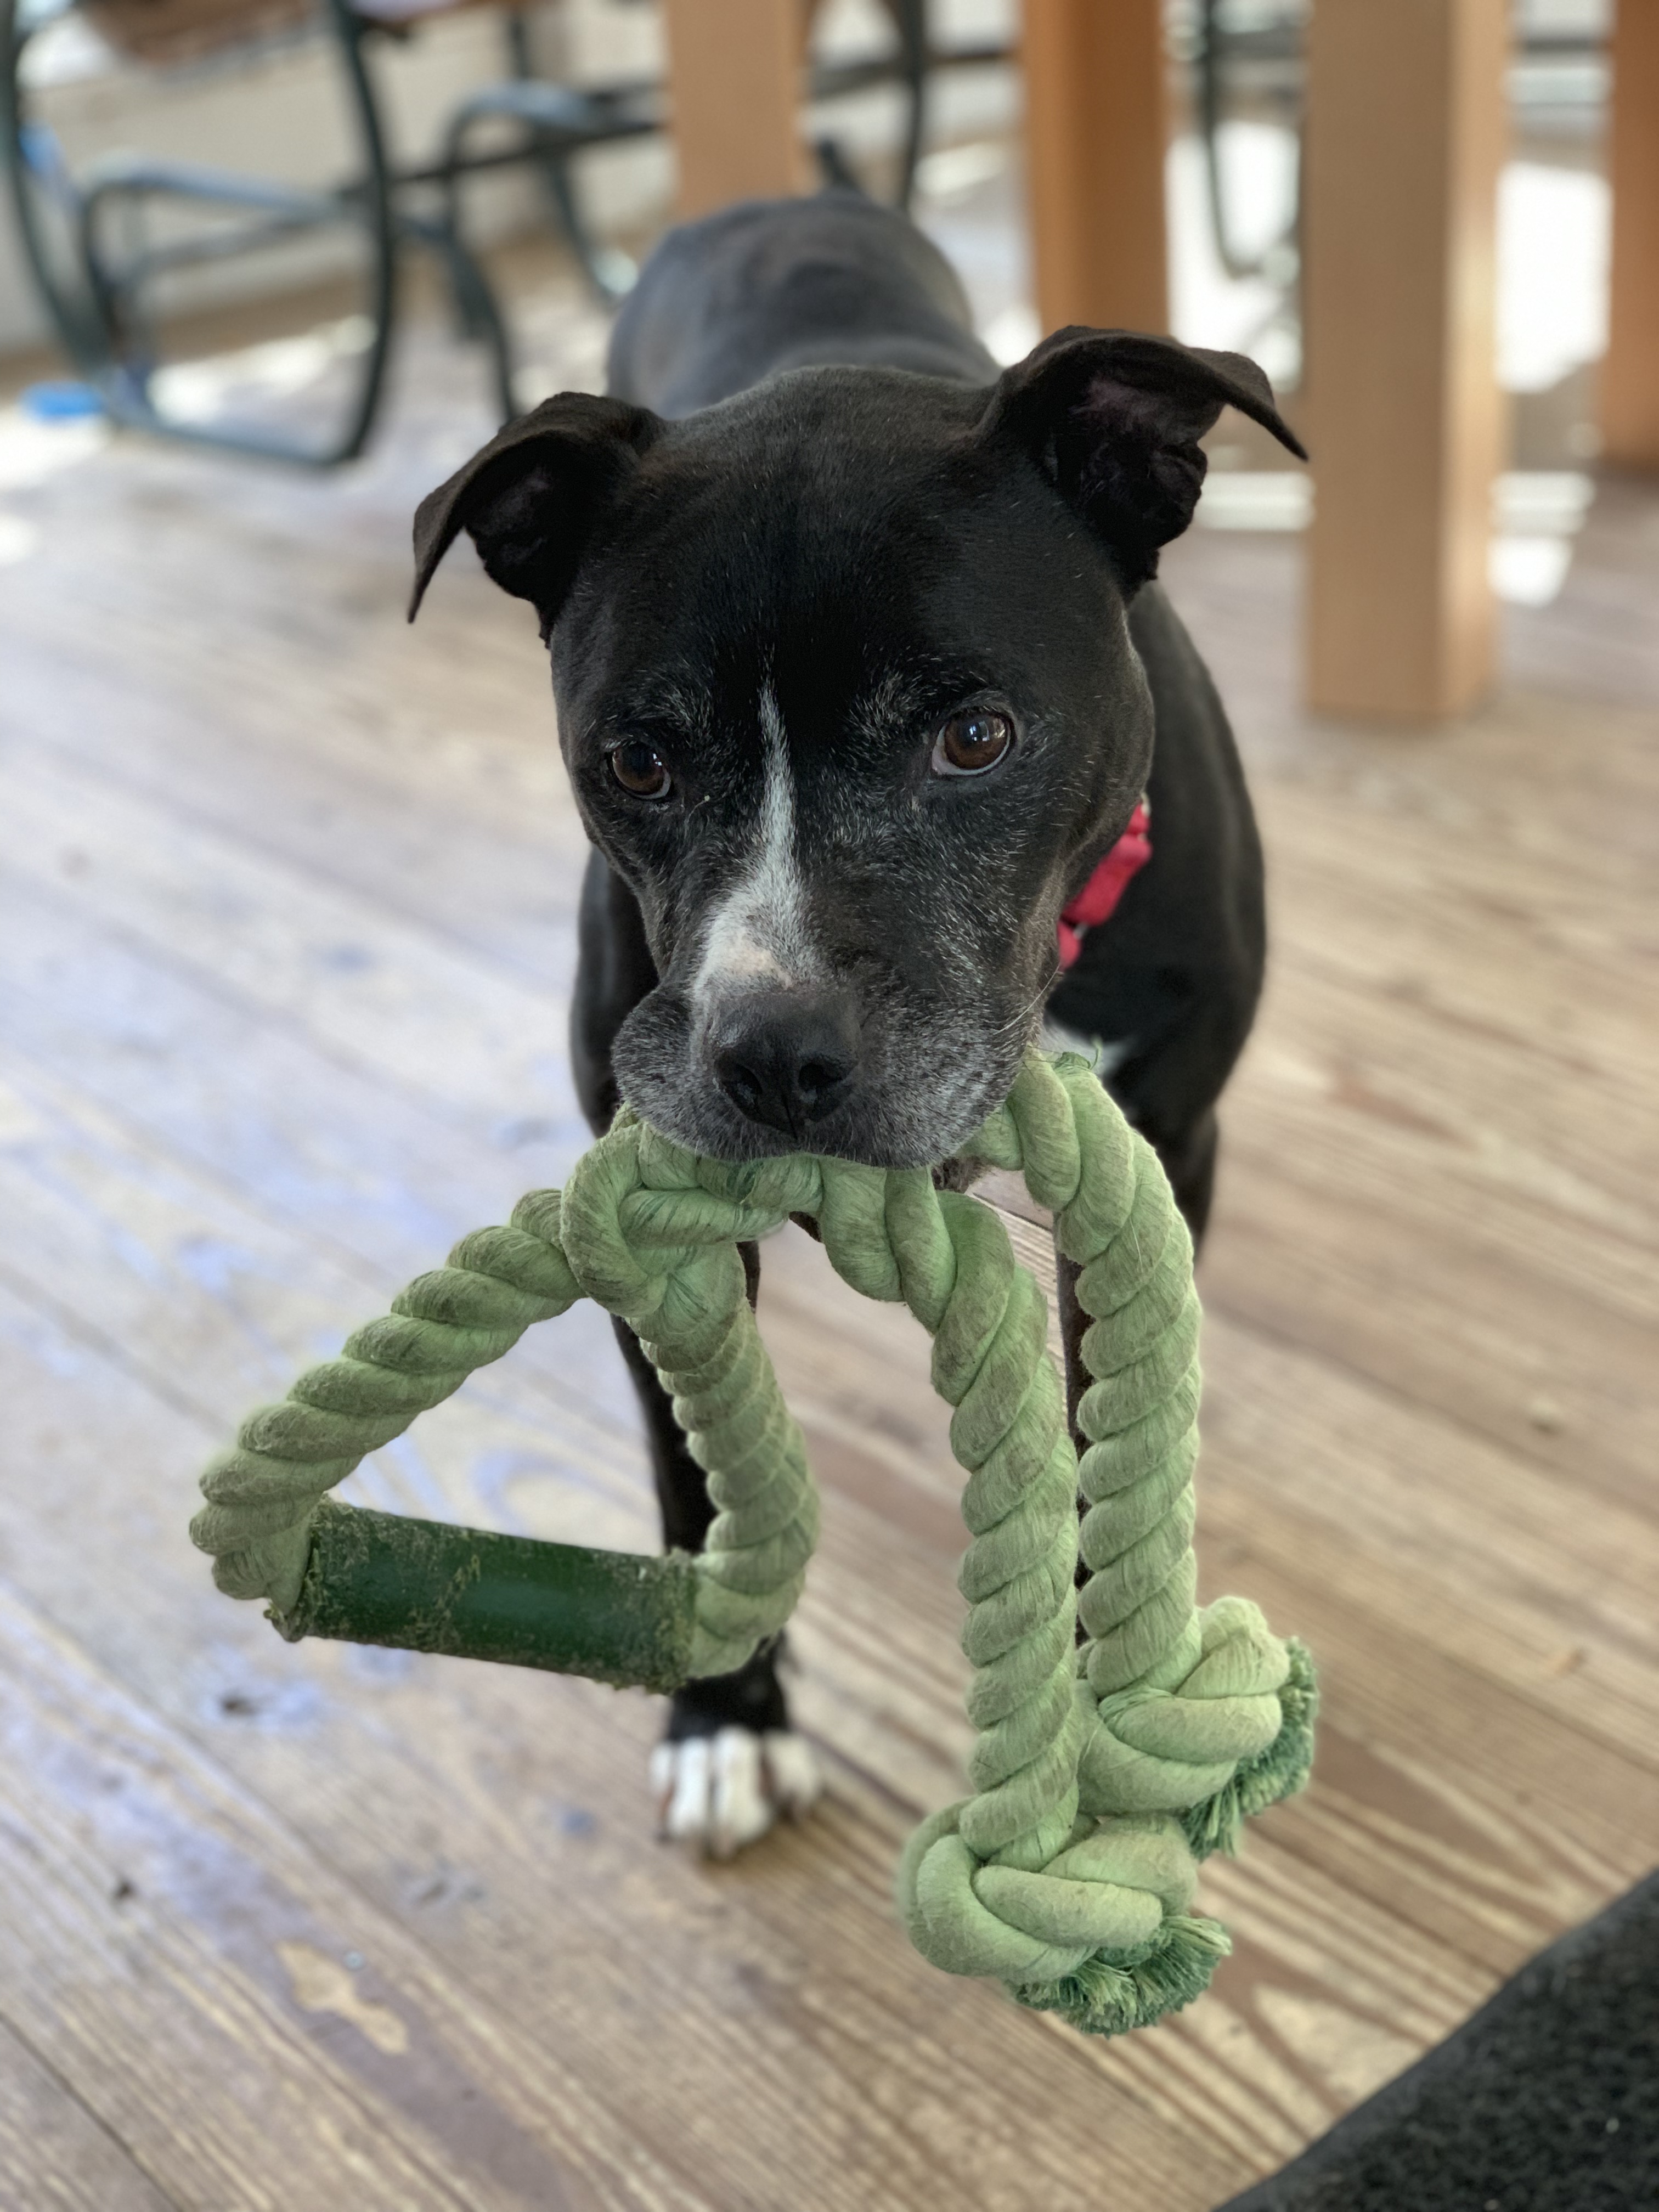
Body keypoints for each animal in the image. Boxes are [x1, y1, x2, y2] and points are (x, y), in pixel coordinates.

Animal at [409, 185, 1309, 1849]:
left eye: (977, 737)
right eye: (634, 761)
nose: (775, 1057)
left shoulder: (1173, 1147)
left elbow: (1106, 1430)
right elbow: (694, 1486)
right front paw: (726, 1714)